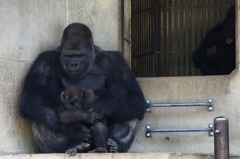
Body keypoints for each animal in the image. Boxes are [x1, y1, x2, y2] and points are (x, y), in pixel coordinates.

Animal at [18, 23, 145, 154]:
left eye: (80, 55)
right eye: (69, 56)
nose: (74, 64)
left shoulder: (115, 61)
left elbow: (133, 96)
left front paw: (103, 103)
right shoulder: (44, 61)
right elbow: (35, 98)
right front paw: (74, 129)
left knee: (129, 108)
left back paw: (114, 143)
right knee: (41, 115)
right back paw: (74, 145)